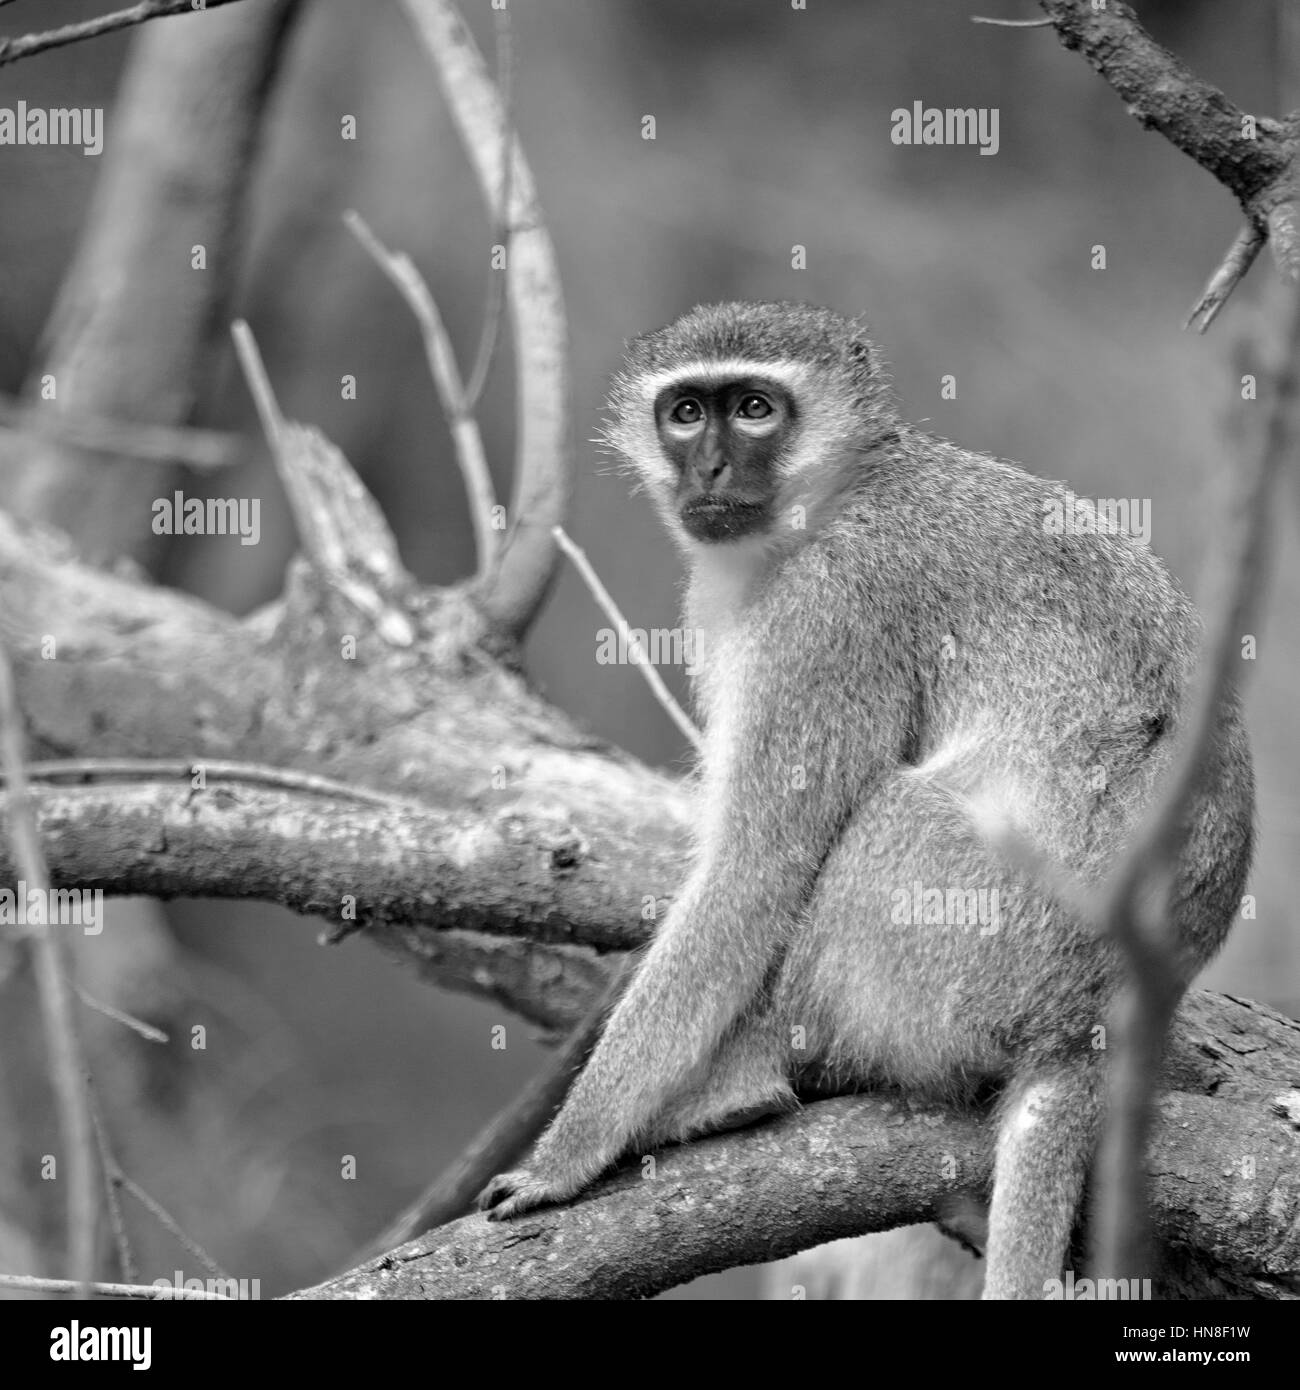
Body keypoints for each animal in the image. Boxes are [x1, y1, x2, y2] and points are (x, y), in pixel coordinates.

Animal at [476, 300, 1254, 1300]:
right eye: (686, 412)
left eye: (756, 408)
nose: (711, 467)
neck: (840, 494)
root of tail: (1093, 1015)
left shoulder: (833, 609)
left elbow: (757, 870)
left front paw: (567, 1154)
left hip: (984, 942)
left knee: (888, 818)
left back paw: (749, 1084)